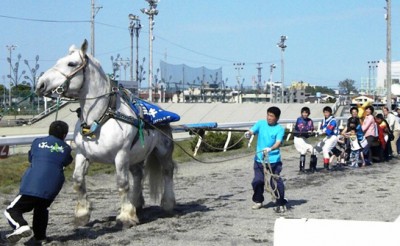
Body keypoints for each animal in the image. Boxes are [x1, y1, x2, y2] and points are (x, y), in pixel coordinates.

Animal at [35, 39, 176, 226]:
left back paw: (167, 204)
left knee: (167, 171)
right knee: (138, 175)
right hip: (136, 155)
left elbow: (122, 183)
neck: (100, 118)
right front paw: (82, 214)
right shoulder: (82, 153)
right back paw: (136, 203)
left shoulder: (121, 154)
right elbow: (78, 180)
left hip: (163, 151)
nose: (40, 84)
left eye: (71, 63)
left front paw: (126, 216)